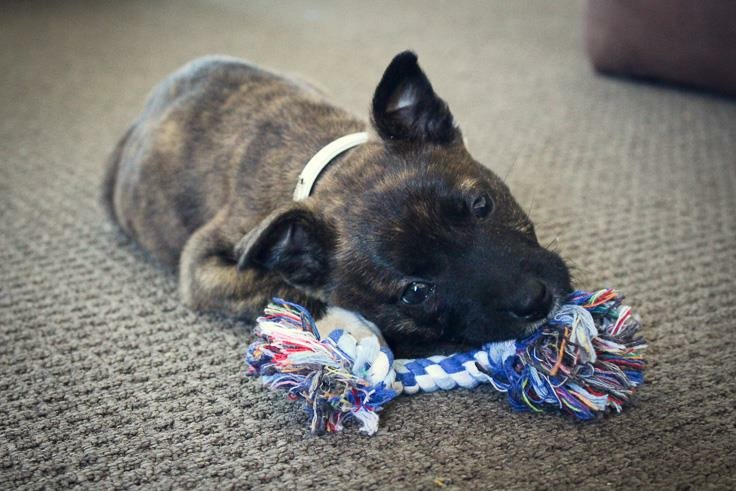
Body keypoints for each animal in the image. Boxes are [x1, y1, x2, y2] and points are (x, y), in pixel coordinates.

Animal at [102, 51, 572, 348]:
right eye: (414, 293)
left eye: (482, 205)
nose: (534, 300)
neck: (330, 164)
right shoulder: (203, 268)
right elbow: (287, 286)